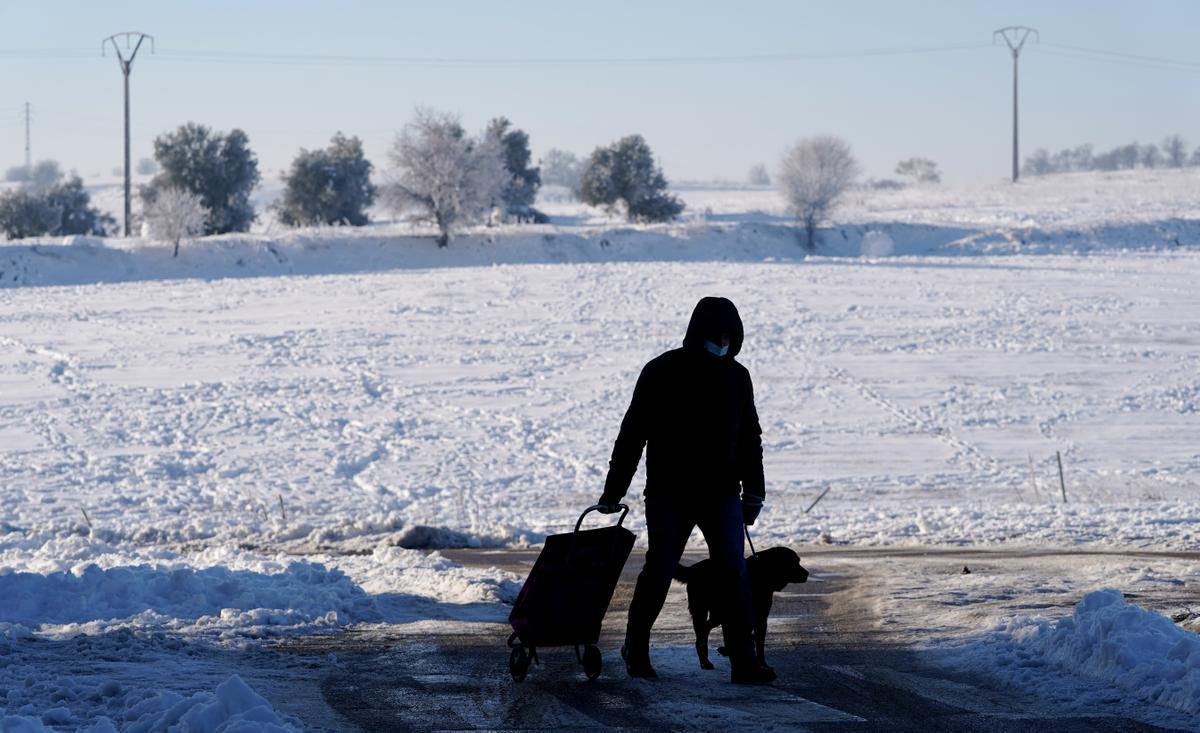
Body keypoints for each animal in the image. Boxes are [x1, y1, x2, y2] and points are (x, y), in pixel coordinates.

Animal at [672, 544, 811, 671]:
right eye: (793, 562)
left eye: (798, 561)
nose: (807, 574)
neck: (762, 572)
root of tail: (693, 569)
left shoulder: (760, 617)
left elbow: (758, 642)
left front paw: (762, 664)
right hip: (713, 612)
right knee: (702, 633)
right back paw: (706, 661)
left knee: (703, 633)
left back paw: (707, 660)